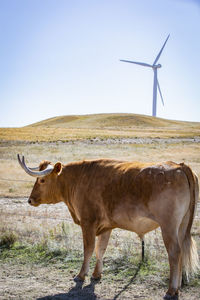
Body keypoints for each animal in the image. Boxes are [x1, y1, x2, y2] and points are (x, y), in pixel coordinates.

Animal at [17, 155, 198, 300]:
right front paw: (96, 274)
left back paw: (170, 290)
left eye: (42, 180)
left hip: (168, 227)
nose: (30, 200)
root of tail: (179, 166)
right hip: (181, 227)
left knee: (174, 253)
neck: (80, 178)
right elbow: (100, 249)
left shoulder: (88, 223)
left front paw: (81, 275)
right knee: (181, 252)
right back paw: (177, 288)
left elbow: (89, 249)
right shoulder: (106, 226)